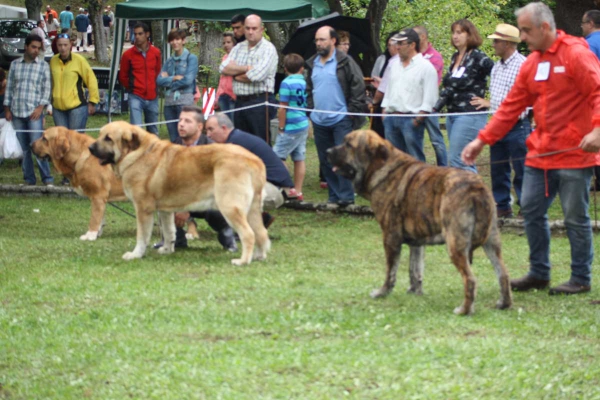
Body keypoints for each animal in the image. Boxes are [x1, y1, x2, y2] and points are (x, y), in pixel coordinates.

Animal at [89, 122, 270, 266]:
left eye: (108, 138)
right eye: (100, 135)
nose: (90, 148)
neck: (137, 154)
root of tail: (254, 160)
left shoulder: (143, 209)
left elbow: (142, 236)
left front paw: (136, 255)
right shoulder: (165, 211)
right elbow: (170, 231)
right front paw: (167, 249)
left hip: (229, 206)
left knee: (249, 234)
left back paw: (243, 261)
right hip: (252, 209)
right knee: (261, 233)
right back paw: (259, 257)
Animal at [326, 131, 512, 316]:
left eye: (348, 145)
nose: (328, 151)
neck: (382, 167)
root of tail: (476, 188)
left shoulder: (390, 236)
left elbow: (391, 270)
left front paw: (382, 292)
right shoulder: (417, 241)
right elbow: (415, 269)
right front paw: (414, 291)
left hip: (455, 243)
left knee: (470, 279)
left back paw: (464, 309)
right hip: (492, 241)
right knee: (503, 273)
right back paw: (504, 303)